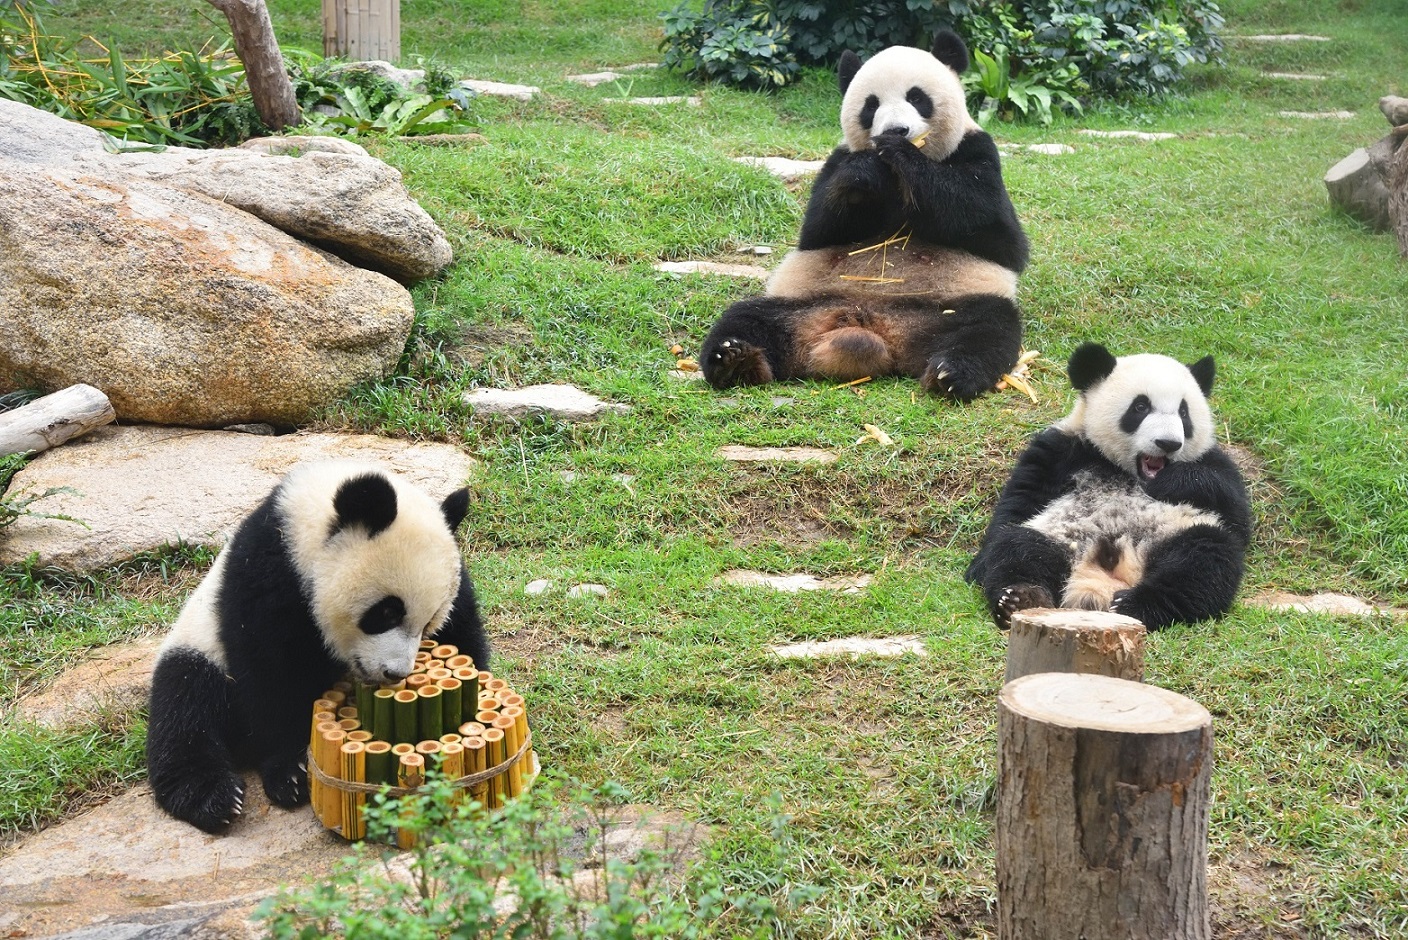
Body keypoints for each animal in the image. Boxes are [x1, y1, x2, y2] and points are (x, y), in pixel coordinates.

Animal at [145, 460, 490, 834]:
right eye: (386, 612)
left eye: (428, 623)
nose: (394, 672)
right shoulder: (268, 576)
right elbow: (270, 677)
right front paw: (290, 773)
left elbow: (463, 634)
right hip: (198, 645)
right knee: (184, 707)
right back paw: (213, 797)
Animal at [701, 30, 1029, 401]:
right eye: (871, 105)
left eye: (917, 97)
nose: (897, 130)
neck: (893, 176)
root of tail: (872, 326)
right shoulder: (835, 161)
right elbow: (818, 229)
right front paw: (863, 172)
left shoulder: (978, 150)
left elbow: (996, 231)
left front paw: (902, 154)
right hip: (798, 303)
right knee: (746, 317)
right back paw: (733, 359)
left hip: (949, 306)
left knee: (987, 329)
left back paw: (952, 372)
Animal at [965, 342, 1251, 630]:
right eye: (1140, 407)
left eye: (1184, 413)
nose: (1168, 443)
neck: (1124, 469)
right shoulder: (1063, 448)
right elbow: (1020, 500)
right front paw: (979, 567)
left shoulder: (1213, 462)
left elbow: (1234, 513)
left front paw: (1169, 482)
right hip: (1058, 535)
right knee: (1021, 548)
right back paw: (1022, 597)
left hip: (1174, 531)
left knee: (1203, 559)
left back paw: (1135, 603)